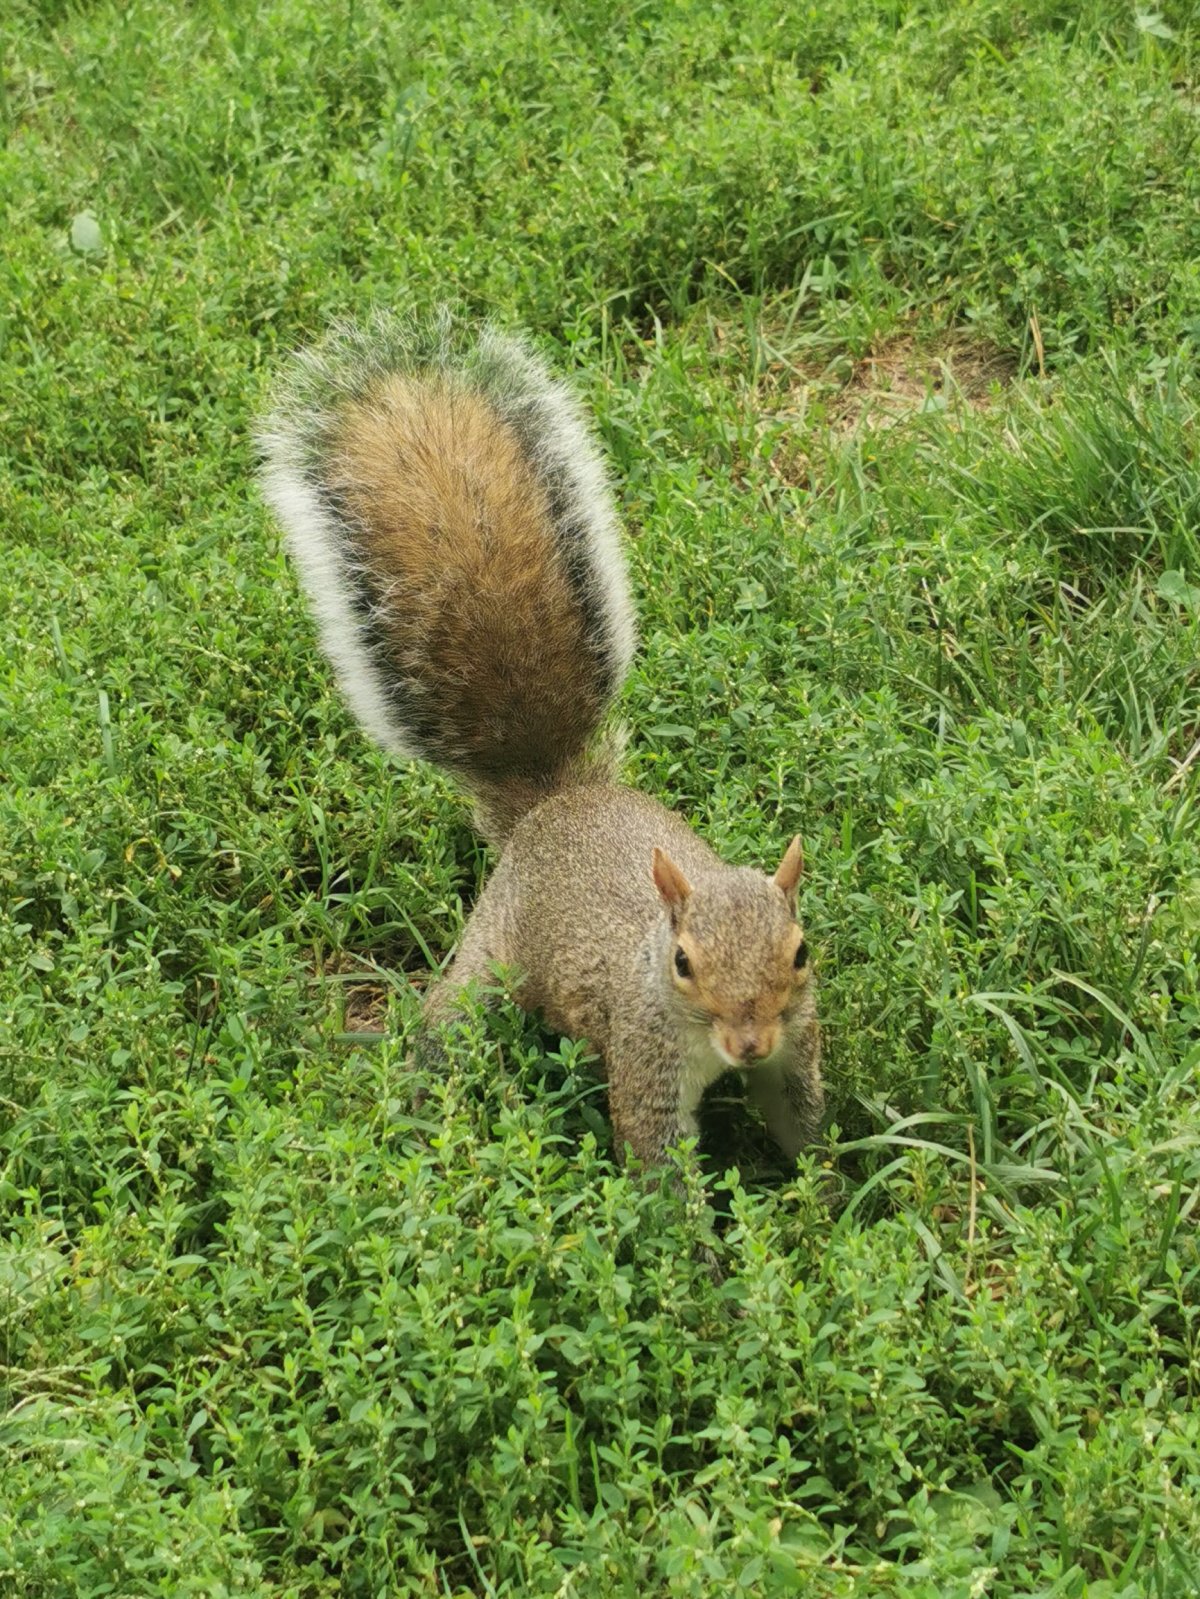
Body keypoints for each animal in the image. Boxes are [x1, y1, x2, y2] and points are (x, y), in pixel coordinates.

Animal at [257, 312, 822, 1169]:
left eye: (799, 951)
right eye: (683, 962)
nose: (750, 1041)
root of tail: (556, 801)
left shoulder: (799, 1040)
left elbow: (804, 1122)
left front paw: (832, 1191)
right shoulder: (644, 1051)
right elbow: (657, 1162)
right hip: (491, 953)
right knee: (451, 1022)